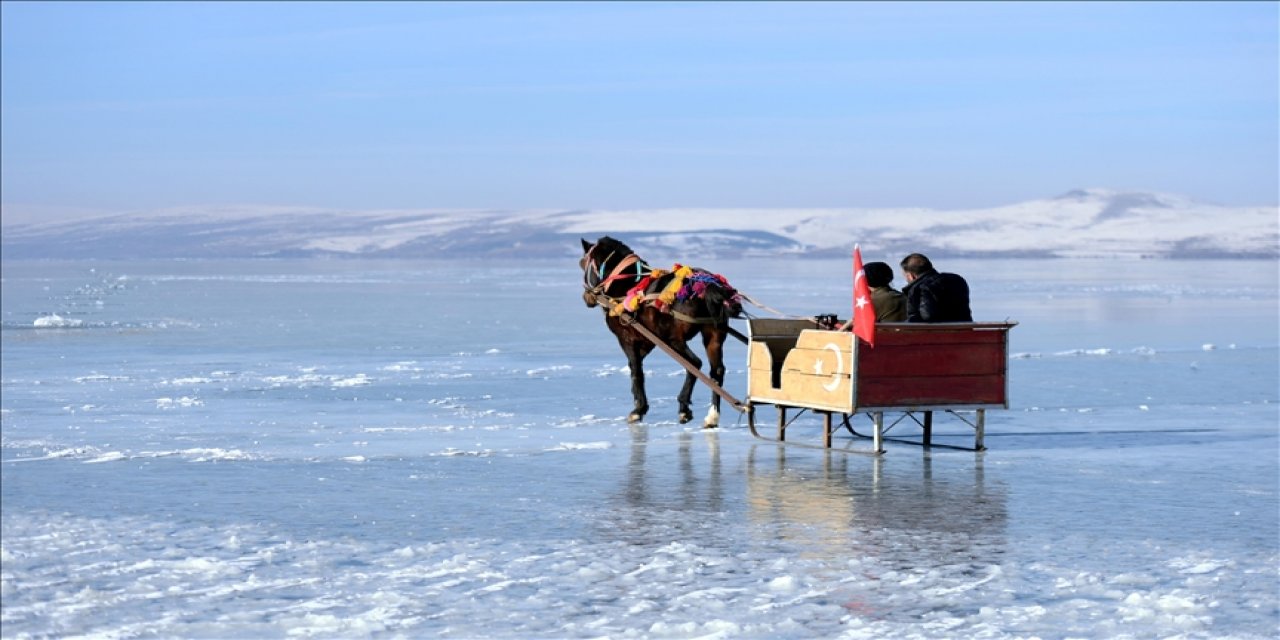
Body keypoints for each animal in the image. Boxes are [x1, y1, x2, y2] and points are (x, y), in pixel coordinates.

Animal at [578, 238, 747, 427]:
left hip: (673, 339)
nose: (587, 298)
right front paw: (640, 405)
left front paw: (638, 410)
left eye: (583, 263)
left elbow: (636, 371)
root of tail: (707, 286)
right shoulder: (648, 340)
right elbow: (637, 368)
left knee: (694, 364)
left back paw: (684, 408)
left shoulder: (627, 338)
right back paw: (712, 416)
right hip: (713, 334)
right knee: (716, 370)